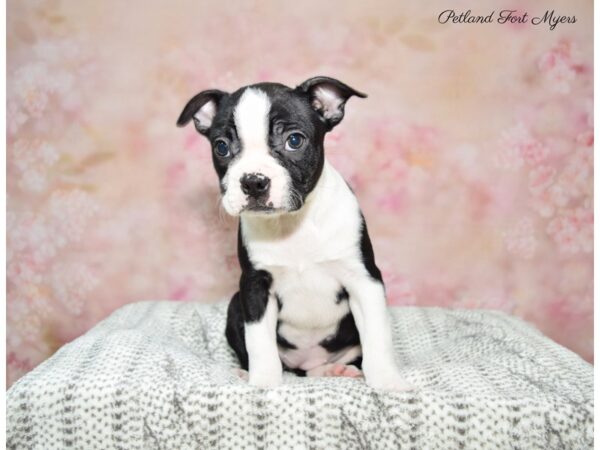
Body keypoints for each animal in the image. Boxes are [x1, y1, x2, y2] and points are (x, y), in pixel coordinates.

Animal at [178, 77, 410, 390]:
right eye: (222, 147)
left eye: (295, 141)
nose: (253, 181)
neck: (292, 224)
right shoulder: (254, 287)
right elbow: (259, 343)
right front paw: (263, 382)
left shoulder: (364, 280)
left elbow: (376, 337)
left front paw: (387, 382)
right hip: (235, 305)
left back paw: (337, 370)